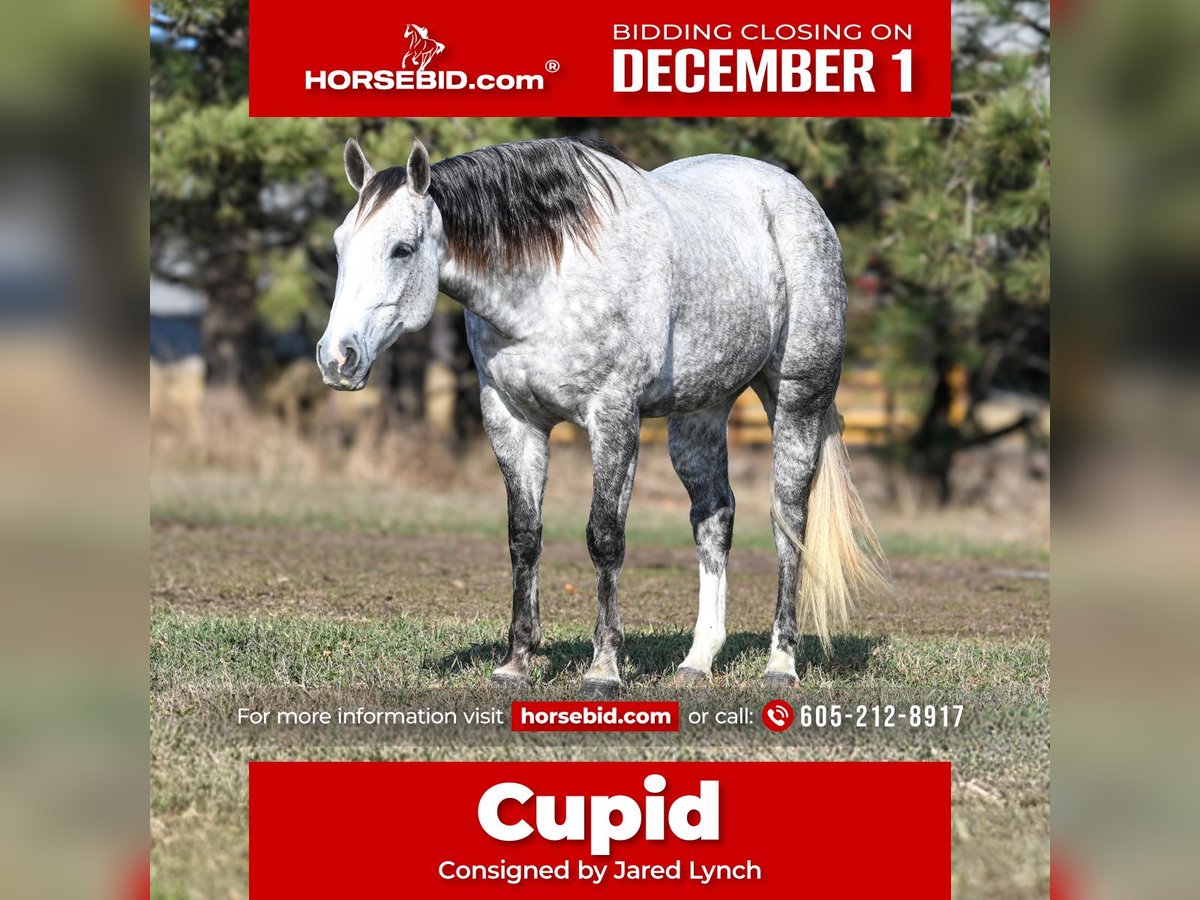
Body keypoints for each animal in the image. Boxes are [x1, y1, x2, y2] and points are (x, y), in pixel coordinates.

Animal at [318, 136, 887, 696]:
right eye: (340, 245)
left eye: (402, 248)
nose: (337, 358)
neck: (547, 284)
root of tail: (798, 199)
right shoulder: (512, 420)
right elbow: (524, 537)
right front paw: (516, 662)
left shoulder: (612, 417)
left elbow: (604, 537)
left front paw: (603, 668)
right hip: (700, 413)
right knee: (714, 518)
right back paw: (697, 661)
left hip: (796, 401)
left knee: (788, 522)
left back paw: (780, 664)